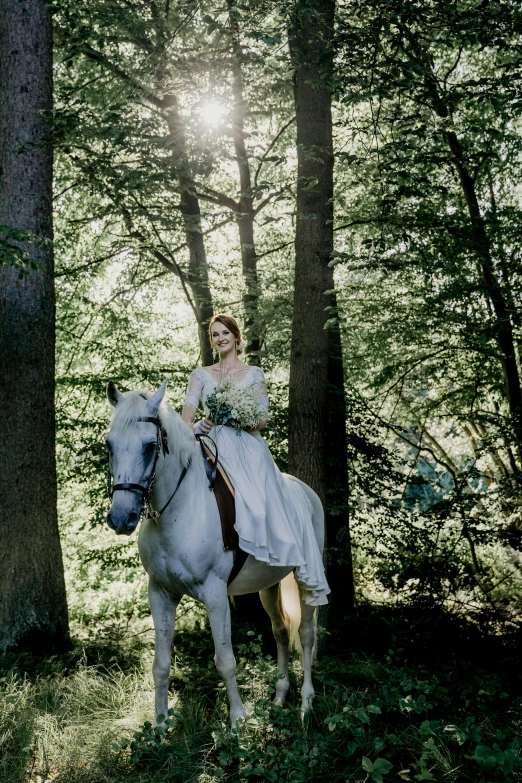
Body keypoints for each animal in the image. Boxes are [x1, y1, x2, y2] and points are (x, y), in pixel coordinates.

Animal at [105, 380, 322, 728]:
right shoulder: (160, 593)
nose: (121, 517)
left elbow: (226, 661)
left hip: (306, 579)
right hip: (268, 585)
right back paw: (279, 698)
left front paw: (237, 724)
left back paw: (306, 704)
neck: (177, 511)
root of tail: (305, 491)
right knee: (280, 630)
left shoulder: (215, 593)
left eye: (150, 446)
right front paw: (159, 728)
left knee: (305, 633)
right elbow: (161, 665)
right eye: (109, 444)